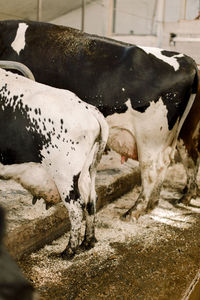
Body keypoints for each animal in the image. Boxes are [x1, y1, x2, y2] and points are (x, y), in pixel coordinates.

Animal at [0, 19, 198, 220]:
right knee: (180, 159)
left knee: (153, 169)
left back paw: (134, 211)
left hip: (151, 139)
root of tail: (187, 60)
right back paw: (160, 203)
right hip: (176, 135)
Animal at [0, 65, 108, 258]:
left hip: (65, 175)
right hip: (86, 172)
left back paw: (69, 251)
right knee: (91, 200)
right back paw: (88, 242)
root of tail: (88, 108)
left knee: (76, 208)